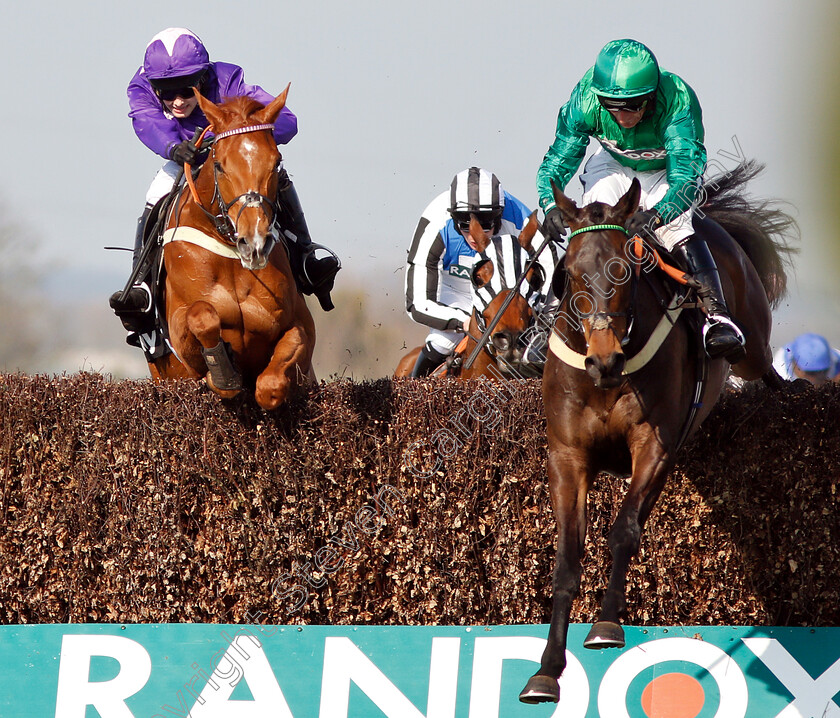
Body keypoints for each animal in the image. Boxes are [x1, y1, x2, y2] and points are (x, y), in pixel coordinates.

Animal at [148, 86, 316, 410]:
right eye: (220, 165)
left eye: (276, 162)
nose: (255, 243)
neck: (229, 251)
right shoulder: (179, 335)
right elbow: (202, 316)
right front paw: (222, 373)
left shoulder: (298, 325)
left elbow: (271, 386)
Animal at [520, 162, 796, 704]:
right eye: (572, 272)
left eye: (623, 272)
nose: (604, 360)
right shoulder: (567, 456)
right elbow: (566, 560)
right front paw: (546, 670)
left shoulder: (655, 443)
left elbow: (624, 531)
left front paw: (606, 625)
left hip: (752, 347)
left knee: (767, 368)